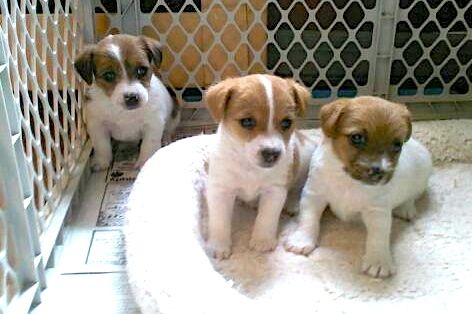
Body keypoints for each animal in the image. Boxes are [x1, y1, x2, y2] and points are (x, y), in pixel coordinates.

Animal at [74, 34, 180, 170]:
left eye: (141, 70)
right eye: (108, 75)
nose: (132, 97)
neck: (125, 113)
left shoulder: (153, 125)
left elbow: (148, 146)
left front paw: (144, 163)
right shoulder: (97, 126)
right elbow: (101, 146)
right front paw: (102, 161)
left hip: (174, 116)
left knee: (168, 129)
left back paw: (166, 139)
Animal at [204, 75, 318, 258]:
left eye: (286, 123)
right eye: (247, 122)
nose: (271, 153)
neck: (250, 167)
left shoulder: (275, 191)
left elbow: (266, 217)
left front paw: (262, 241)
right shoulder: (220, 190)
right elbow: (219, 221)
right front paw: (218, 245)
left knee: (297, 187)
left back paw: (292, 203)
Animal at [284, 95, 432, 278]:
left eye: (397, 145)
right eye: (357, 138)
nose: (379, 172)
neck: (349, 180)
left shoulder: (377, 210)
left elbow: (379, 235)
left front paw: (378, 260)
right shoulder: (314, 195)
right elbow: (308, 219)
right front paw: (301, 240)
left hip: (422, 176)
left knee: (412, 196)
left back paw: (406, 209)